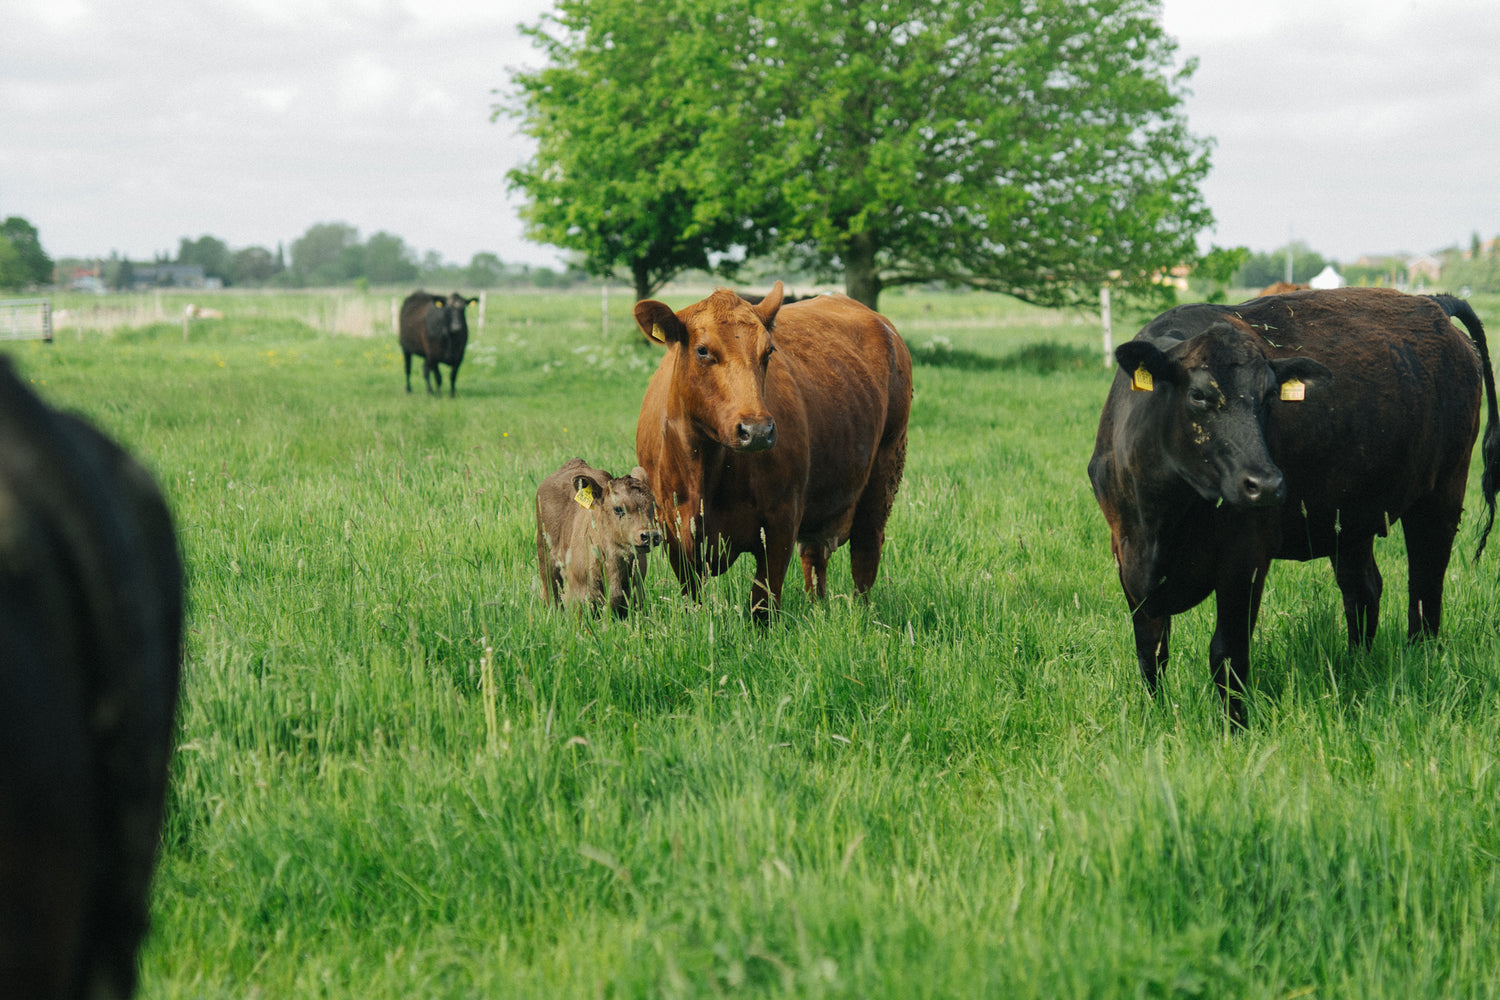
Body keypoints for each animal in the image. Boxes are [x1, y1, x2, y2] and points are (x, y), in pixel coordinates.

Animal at [537, 458, 660, 617]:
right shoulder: (576, 599)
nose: (650, 535)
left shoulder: (636, 598)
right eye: (618, 509)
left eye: (653, 506)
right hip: (545, 559)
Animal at [633, 281, 912, 620]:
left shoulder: (781, 522)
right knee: (815, 558)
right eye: (702, 350)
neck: (704, 470)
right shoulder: (672, 526)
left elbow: (762, 603)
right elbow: (693, 597)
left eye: (768, 352)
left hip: (884, 474)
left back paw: (861, 615)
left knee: (865, 554)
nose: (756, 430)